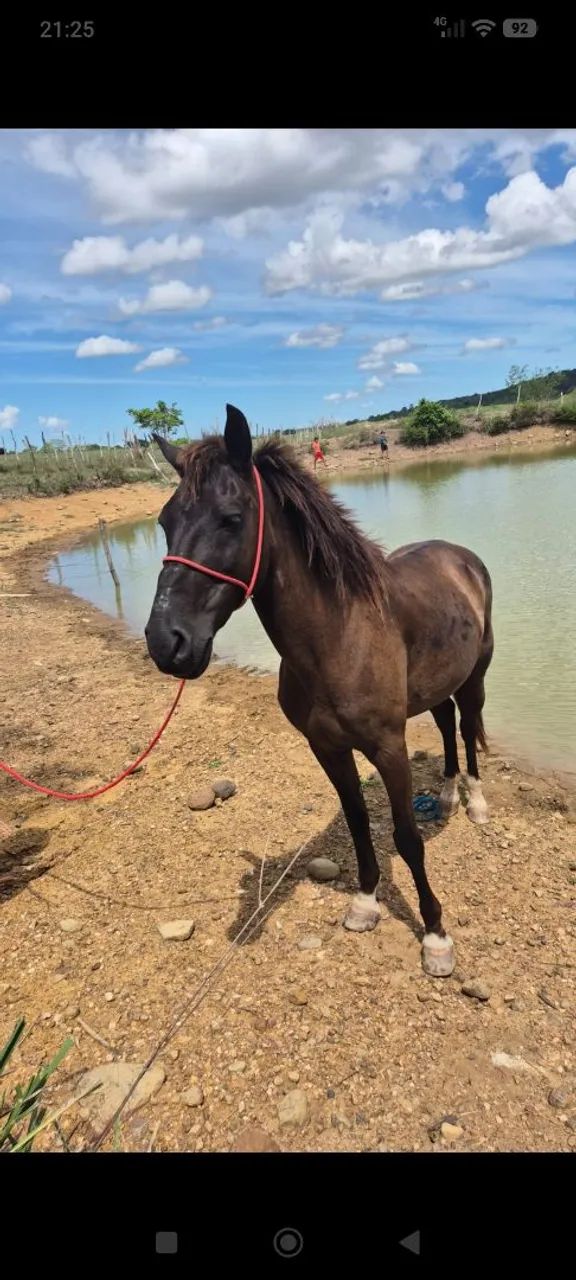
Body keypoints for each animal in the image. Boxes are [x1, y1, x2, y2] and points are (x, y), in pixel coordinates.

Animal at [146, 405, 494, 978]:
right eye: (165, 521)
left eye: (231, 518)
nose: (166, 642)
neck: (339, 635)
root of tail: (460, 556)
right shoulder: (326, 747)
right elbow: (357, 824)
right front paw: (366, 902)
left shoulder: (389, 747)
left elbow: (406, 838)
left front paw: (436, 935)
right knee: (445, 721)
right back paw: (445, 796)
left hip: (476, 675)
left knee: (466, 728)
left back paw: (475, 802)